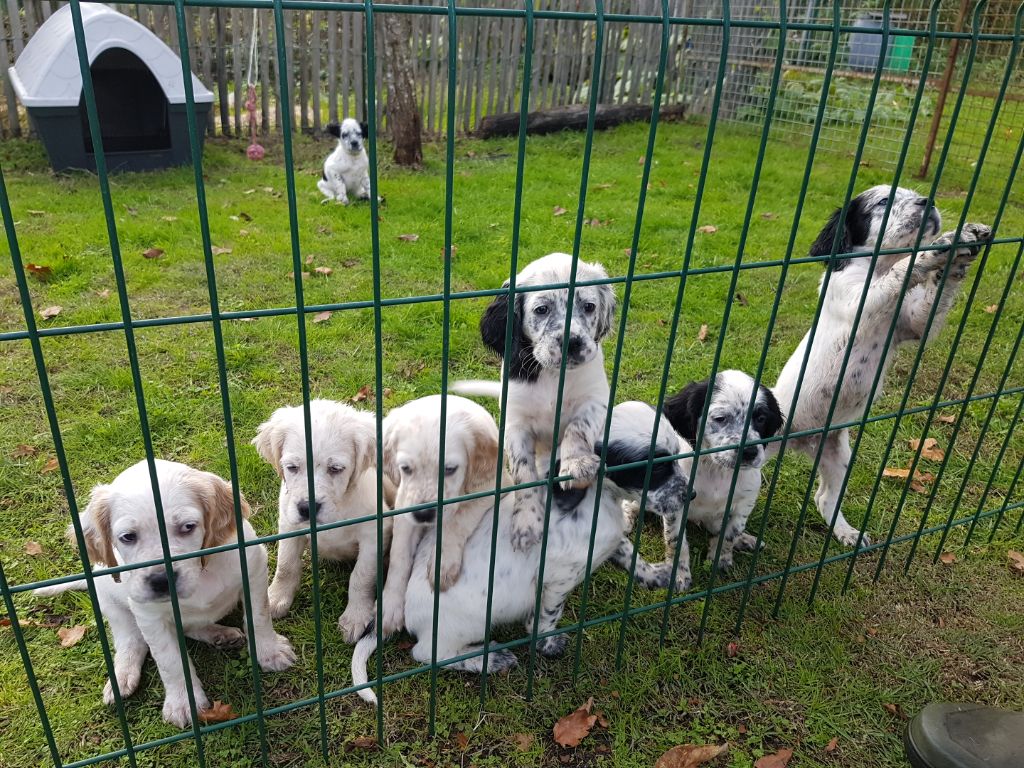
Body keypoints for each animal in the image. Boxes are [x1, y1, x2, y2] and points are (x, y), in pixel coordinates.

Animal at [33, 460, 296, 729]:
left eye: (188, 527)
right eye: (128, 537)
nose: (161, 580)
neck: (201, 573)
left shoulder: (253, 568)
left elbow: (259, 616)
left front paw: (270, 652)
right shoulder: (149, 616)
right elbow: (169, 660)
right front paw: (183, 703)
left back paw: (221, 635)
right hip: (109, 598)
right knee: (131, 640)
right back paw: (122, 676)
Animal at [251, 399, 391, 647]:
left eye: (335, 469)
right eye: (292, 467)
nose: (307, 508)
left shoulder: (375, 532)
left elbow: (361, 576)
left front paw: (355, 617)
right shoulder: (289, 523)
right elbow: (286, 565)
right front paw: (276, 598)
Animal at [774, 185, 991, 548]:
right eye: (883, 201)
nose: (928, 202)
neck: (878, 263)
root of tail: (800, 441)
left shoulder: (914, 323)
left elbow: (931, 293)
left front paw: (962, 246)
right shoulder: (857, 298)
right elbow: (904, 267)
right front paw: (939, 247)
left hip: (838, 454)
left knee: (824, 498)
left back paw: (846, 533)